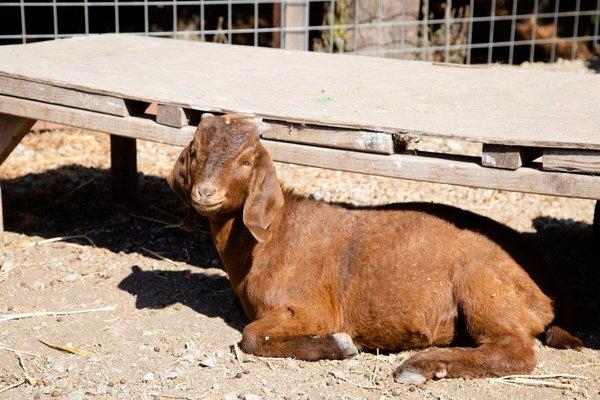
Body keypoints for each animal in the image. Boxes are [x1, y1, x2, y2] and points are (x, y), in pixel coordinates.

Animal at [168, 114, 580, 382]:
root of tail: (551, 290)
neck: (271, 237)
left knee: (517, 351)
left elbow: (251, 335)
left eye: (245, 161)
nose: (205, 193)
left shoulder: (311, 309)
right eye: (195, 151)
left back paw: (421, 367)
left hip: (482, 284)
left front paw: (339, 345)